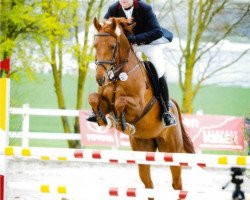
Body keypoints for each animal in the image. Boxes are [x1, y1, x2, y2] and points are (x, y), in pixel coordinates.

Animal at [88, 16, 195, 198]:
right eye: (95, 45)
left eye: (112, 46)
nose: (100, 79)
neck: (118, 75)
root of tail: (173, 104)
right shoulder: (105, 102)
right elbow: (94, 98)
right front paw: (103, 120)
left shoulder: (138, 106)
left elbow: (120, 102)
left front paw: (122, 124)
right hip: (143, 148)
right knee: (148, 184)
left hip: (171, 149)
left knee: (177, 182)